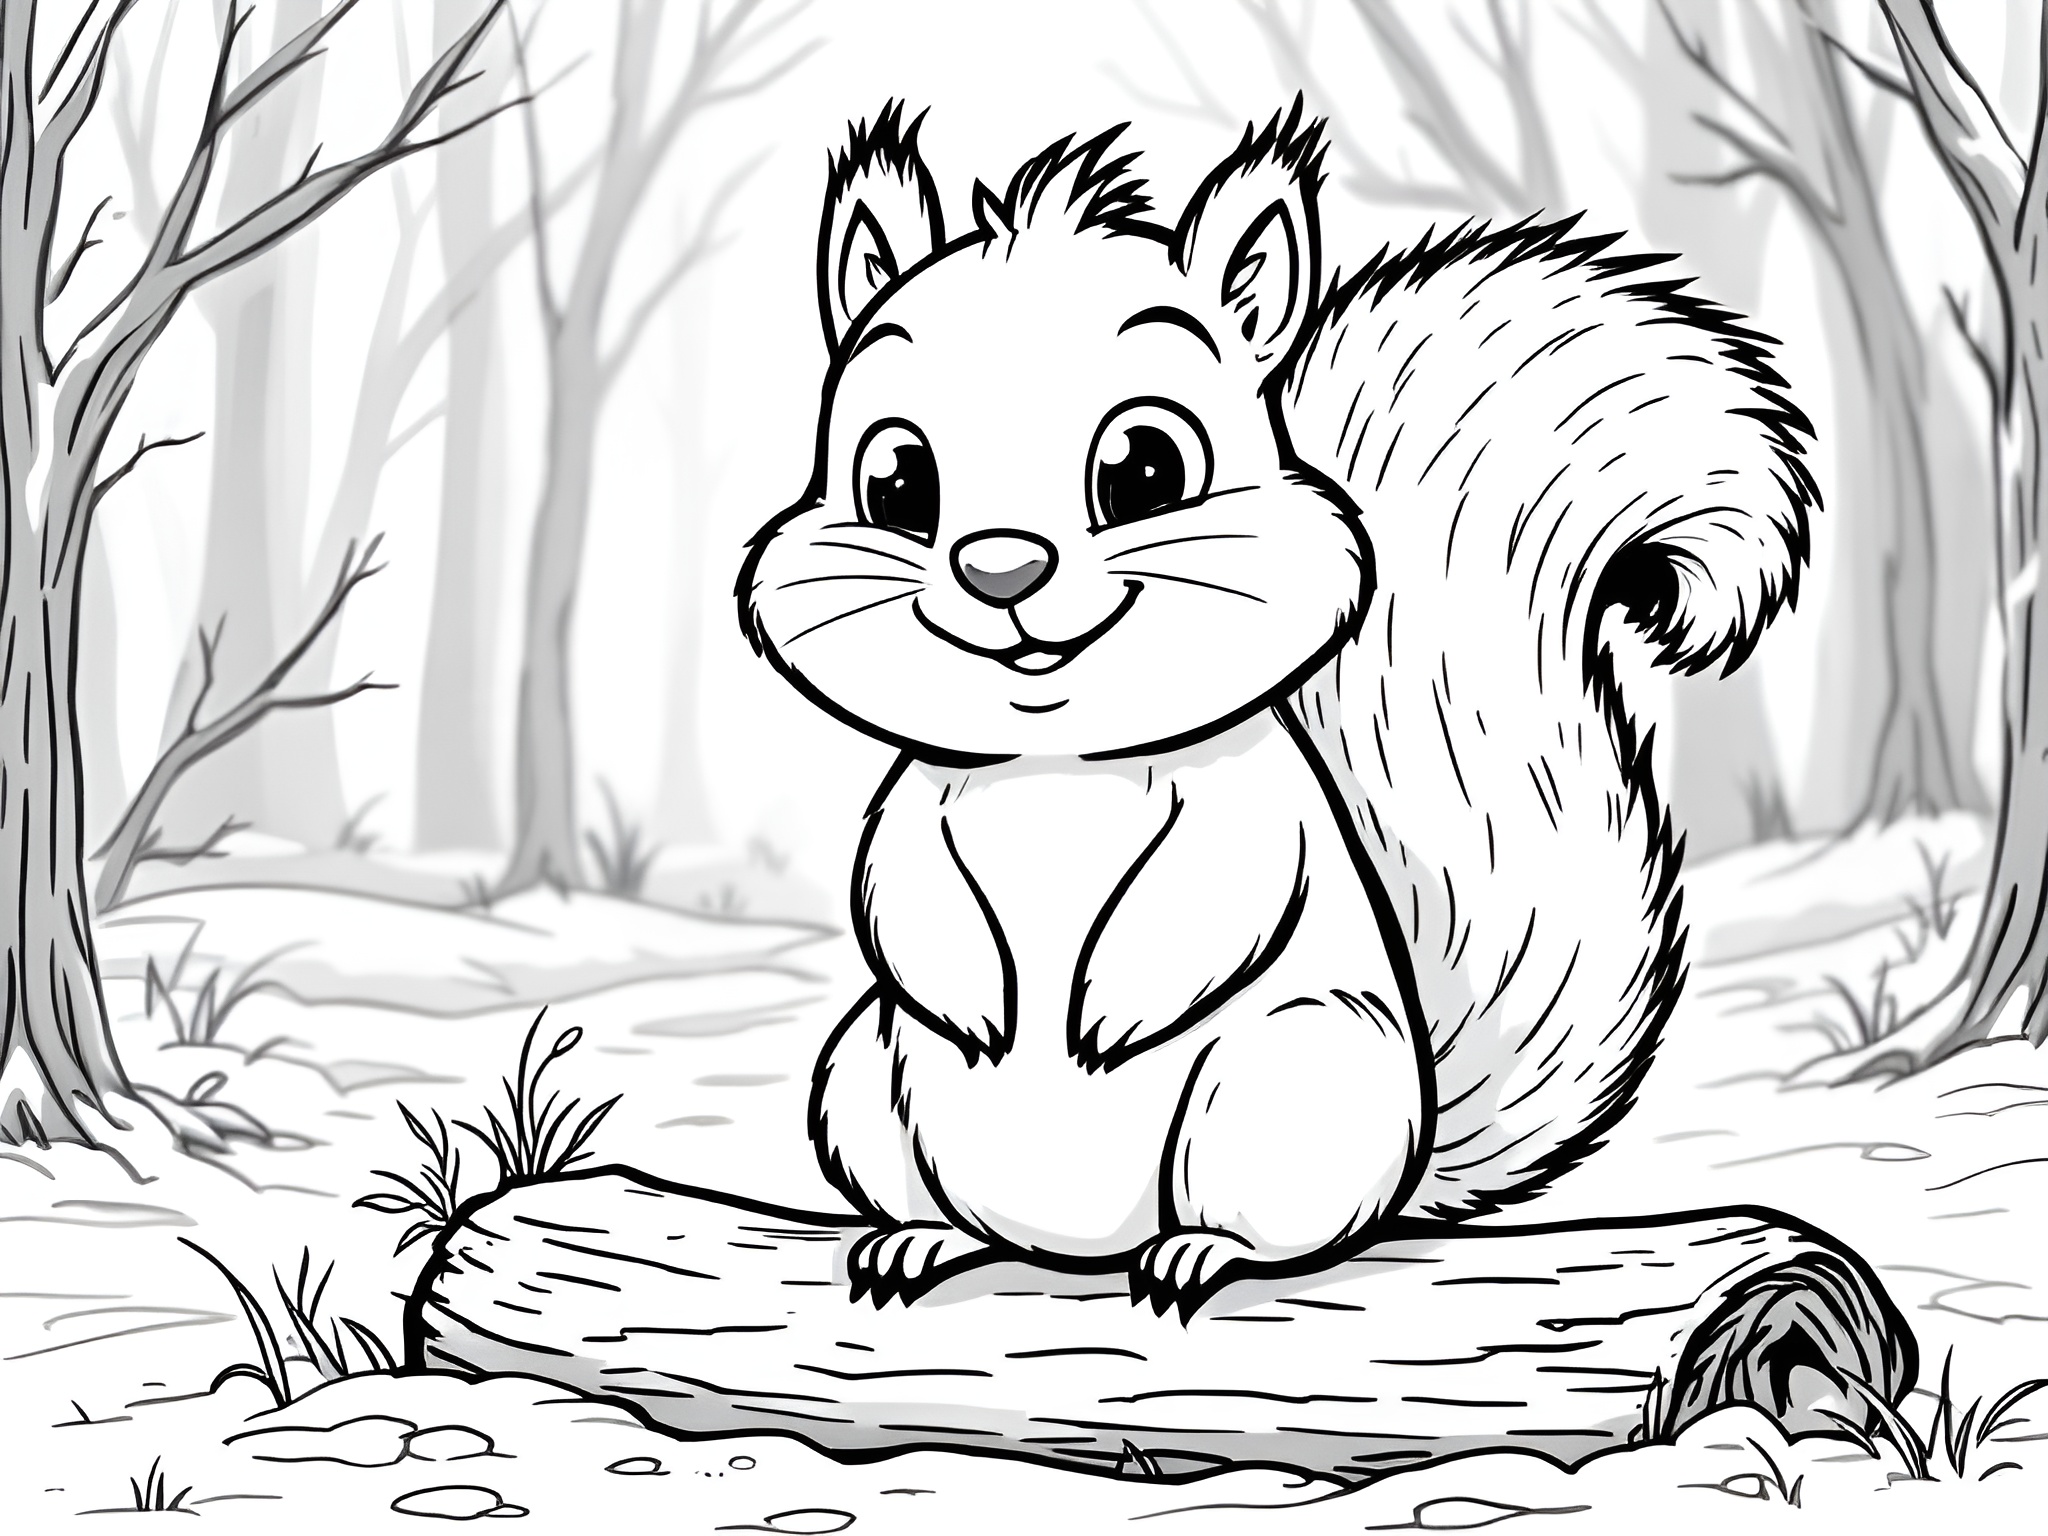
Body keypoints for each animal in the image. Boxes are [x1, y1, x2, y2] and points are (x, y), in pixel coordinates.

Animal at [738, 100, 1815, 1320]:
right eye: (894, 482)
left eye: (1146, 467)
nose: (999, 569)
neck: (1056, 770)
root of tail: (1076, 1247)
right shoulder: (915, 806)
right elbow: (894, 897)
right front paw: (977, 1004)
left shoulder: (1257, 812)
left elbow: (1221, 893)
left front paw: (1107, 1014)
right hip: (862, 1078)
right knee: (943, 1198)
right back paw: (920, 1239)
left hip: (1285, 1078)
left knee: (1284, 1228)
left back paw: (1202, 1252)